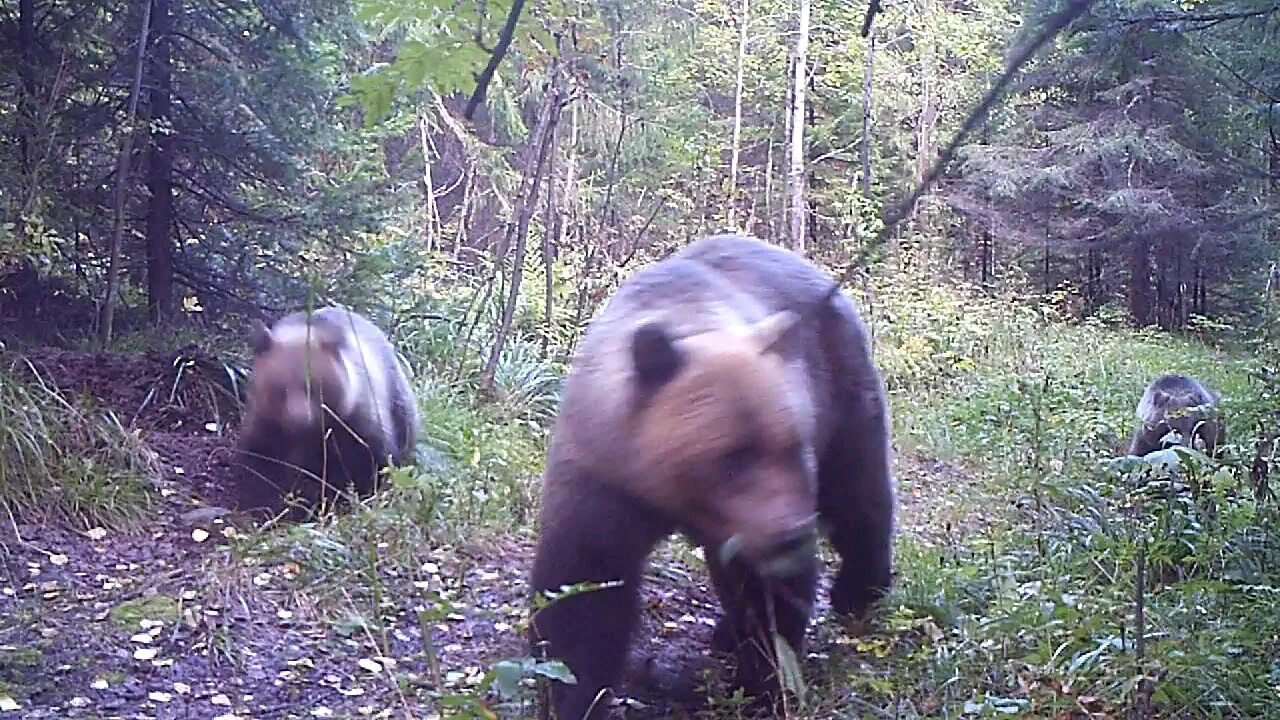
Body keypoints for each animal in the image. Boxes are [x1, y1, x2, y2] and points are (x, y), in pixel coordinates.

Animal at [235, 304, 419, 512]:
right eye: (280, 389)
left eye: (315, 387)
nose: (300, 421)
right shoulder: (265, 422)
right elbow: (259, 462)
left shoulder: (354, 420)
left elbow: (372, 459)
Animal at [524, 233, 896, 712]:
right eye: (733, 455)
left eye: (794, 444)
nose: (791, 534)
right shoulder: (603, 475)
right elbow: (583, 587)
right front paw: (574, 694)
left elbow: (767, 596)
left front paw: (763, 680)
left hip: (843, 387)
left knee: (857, 495)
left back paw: (859, 591)